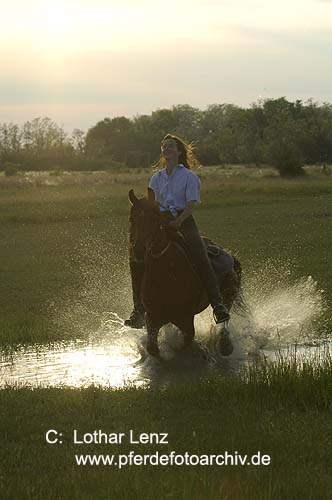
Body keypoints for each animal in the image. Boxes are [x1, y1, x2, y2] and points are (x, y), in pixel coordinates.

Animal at [128, 187, 243, 356]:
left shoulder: (186, 321)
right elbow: (152, 348)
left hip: (228, 295)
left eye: (154, 219)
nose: (138, 251)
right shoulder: (152, 318)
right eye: (132, 219)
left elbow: (185, 346)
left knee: (224, 321)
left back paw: (225, 345)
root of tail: (229, 255)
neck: (166, 273)